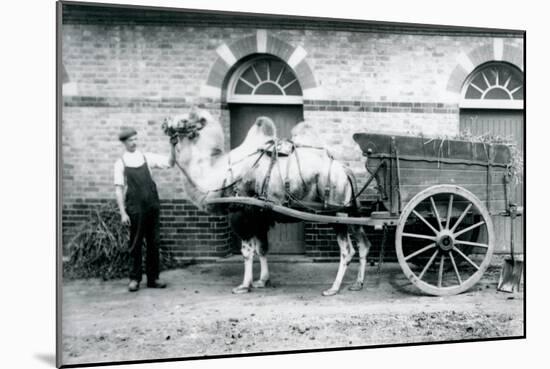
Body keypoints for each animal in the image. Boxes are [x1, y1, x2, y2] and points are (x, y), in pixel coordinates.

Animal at [162, 107, 374, 296]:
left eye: (185, 121)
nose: (165, 123)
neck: (218, 172)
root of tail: (345, 171)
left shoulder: (241, 211)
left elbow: (247, 251)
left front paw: (243, 285)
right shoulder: (260, 214)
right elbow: (262, 248)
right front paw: (262, 281)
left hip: (335, 211)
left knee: (347, 250)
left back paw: (333, 288)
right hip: (350, 211)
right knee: (364, 243)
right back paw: (358, 283)